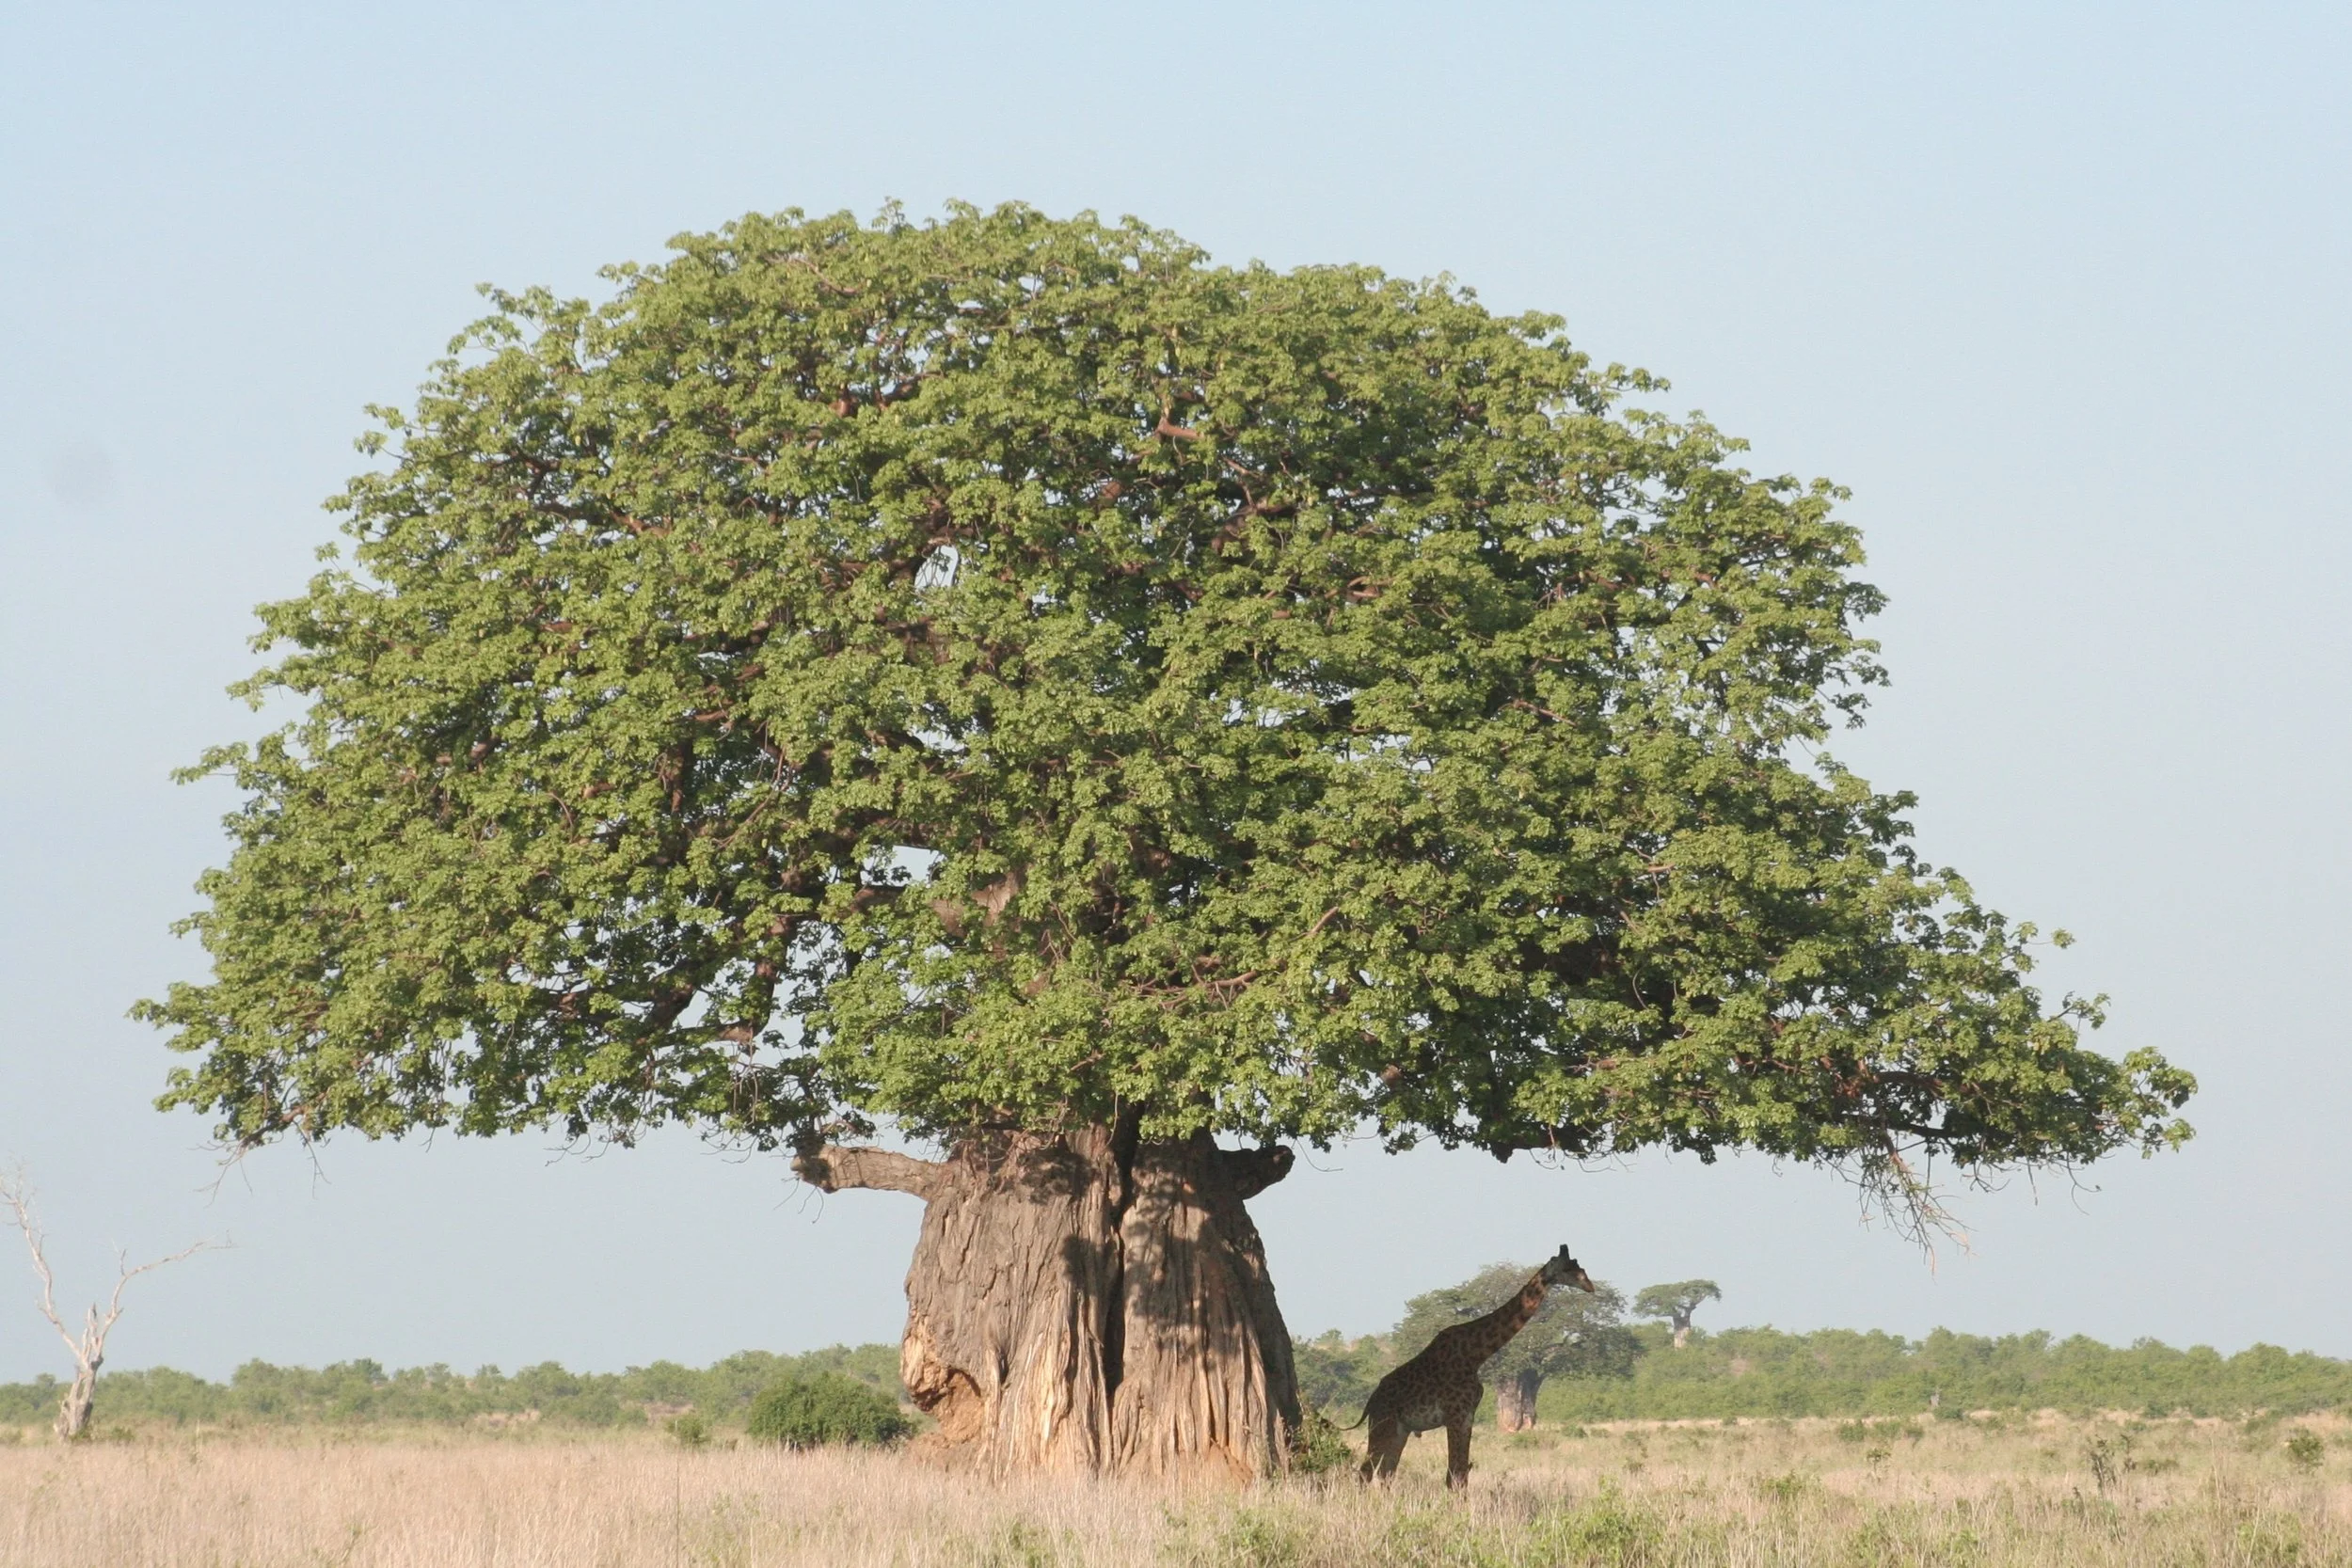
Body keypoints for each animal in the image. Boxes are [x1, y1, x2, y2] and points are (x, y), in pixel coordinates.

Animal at [1355, 1244, 1597, 1489]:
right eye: (1567, 1268)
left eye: (1579, 1264)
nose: (1590, 1286)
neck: (1476, 1355)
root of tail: (1371, 1403)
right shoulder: (1456, 1415)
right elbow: (1455, 1475)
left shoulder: (1467, 1415)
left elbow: (1460, 1474)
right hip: (1382, 1424)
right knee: (1366, 1472)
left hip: (1400, 1429)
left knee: (1386, 1472)